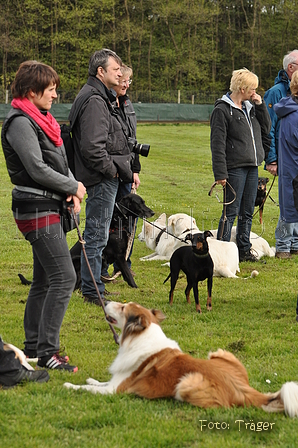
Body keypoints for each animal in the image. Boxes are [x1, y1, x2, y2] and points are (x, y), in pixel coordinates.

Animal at [64, 300, 298, 416]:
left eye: (122, 307)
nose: (105, 300)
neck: (140, 336)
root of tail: (247, 391)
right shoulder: (115, 382)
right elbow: (98, 382)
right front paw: (90, 379)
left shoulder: (116, 390)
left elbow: (89, 389)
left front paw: (69, 386)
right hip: (219, 353)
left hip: (186, 382)